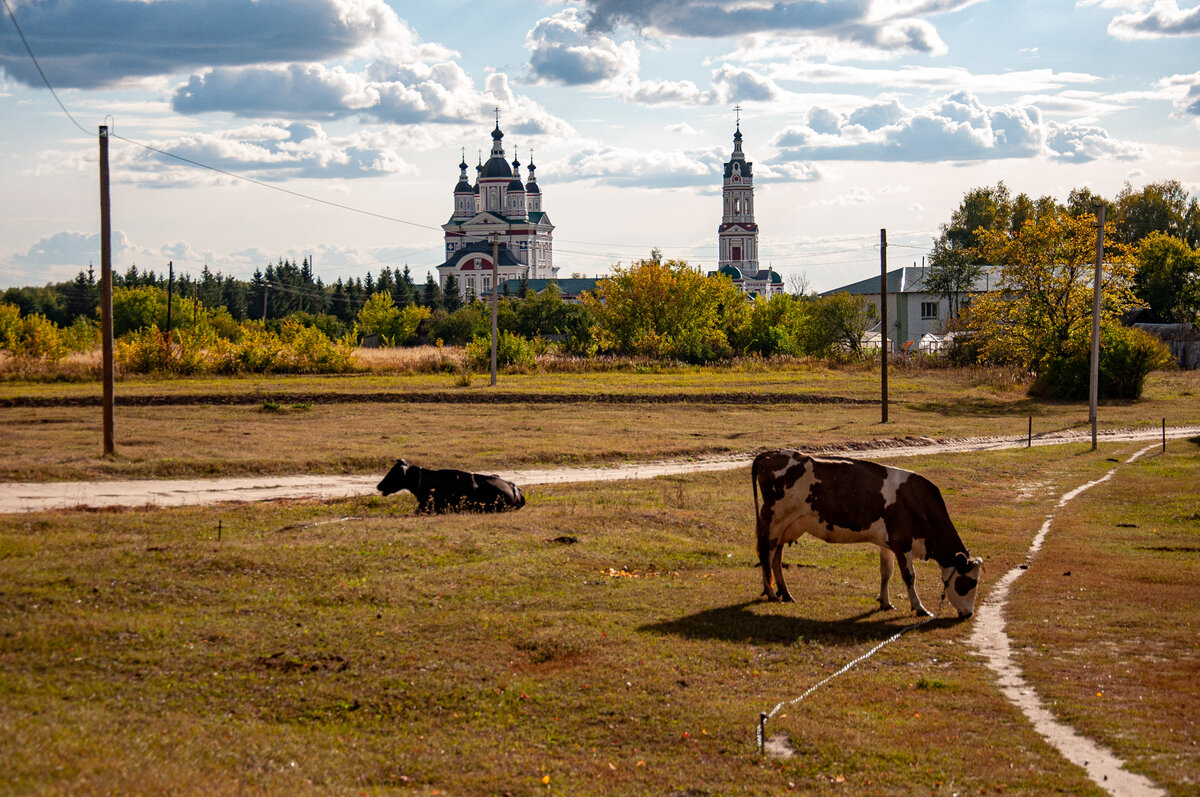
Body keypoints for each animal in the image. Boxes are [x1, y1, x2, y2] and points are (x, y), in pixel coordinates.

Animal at [748, 451, 984, 619]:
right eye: (970, 583)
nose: (968, 614)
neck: (919, 503)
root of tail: (769, 454)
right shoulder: (902, 543)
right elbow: (909, 576)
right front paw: (919, 607)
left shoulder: (888, 543)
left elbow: (886, 572)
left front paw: (886, 602)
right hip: (775, 520)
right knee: (766, 553)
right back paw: (771, 593)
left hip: (787, 525)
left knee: (776, 557)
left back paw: (784, 593)